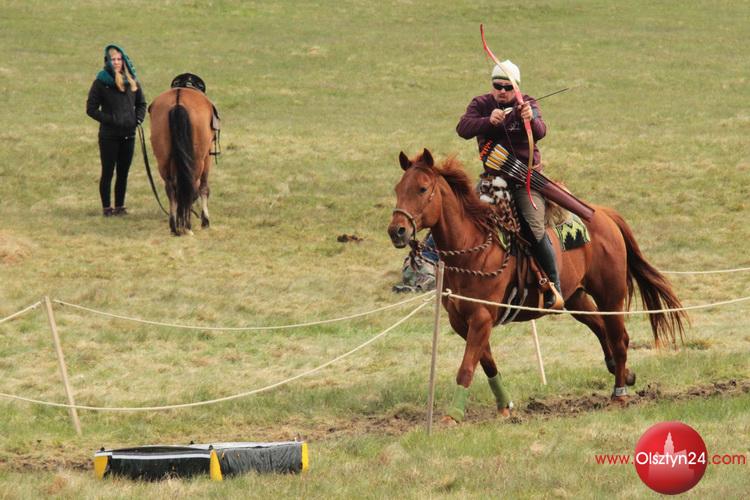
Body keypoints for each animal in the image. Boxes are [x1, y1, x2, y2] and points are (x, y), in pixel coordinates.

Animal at [149, 87, 214, 235]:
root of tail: (178, 100)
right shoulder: (207, 158)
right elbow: (204, 188)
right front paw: (205, 221)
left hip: (163, 161)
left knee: (171, 189)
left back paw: (174, 226)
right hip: (197, 161)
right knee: (190, 186)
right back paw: (187, 226)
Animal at [387, 149, 688, 423]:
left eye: (422, 188)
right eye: (398, 189)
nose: (397, 231)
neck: (473, 247)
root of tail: (603, 214)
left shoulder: (482, 317)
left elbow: (467, 367)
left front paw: (453, 415)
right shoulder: (462, 321)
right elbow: (486, 362)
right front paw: (504, 406)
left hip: (610, 295)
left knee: (619, 338)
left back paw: (619, 393)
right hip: (575, 298)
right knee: (601, 328)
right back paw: (622, 372)